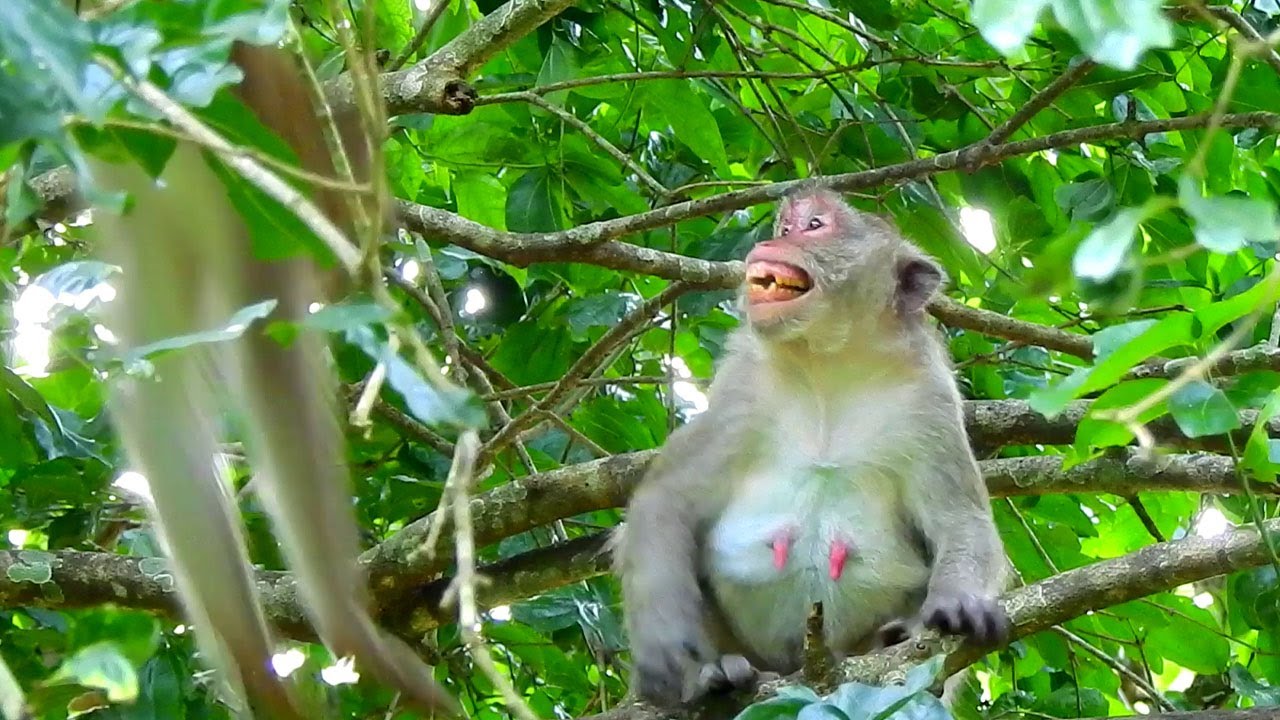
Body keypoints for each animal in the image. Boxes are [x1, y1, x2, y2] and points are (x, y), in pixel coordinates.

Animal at [613, 185, 1010, 706]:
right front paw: (674, 659)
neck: (828, 364)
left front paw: (959, 603)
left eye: (815, 226)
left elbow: (962, 520)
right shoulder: (739, 394)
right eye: (786, 227)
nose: (773, 240)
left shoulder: (931, 404)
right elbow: (665, 503)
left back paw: (894, 636)